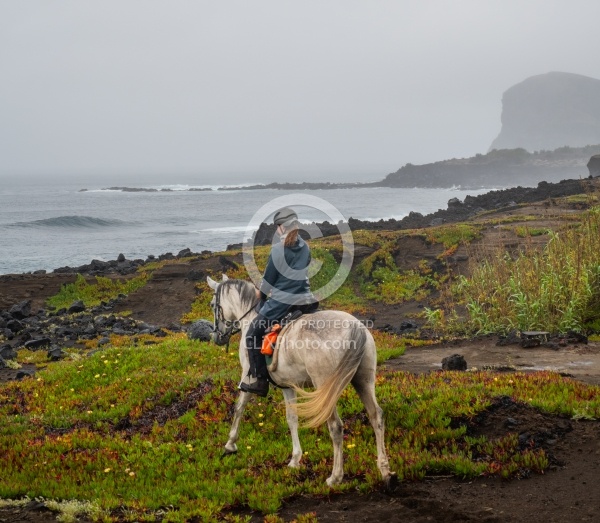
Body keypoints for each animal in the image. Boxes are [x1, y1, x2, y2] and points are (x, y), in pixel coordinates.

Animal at [209, 276, 396, 490]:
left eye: (213, 304)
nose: (216, 337)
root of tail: (355, 327)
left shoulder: (248, 377)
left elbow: (239, 407)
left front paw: (230, 444)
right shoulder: (288, 386)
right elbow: (292, 419)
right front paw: (295, 459)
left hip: (326, 387)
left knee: (336, 426)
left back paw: (335, 477)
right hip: (363, 381)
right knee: (376, 417)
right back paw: (385, 471)